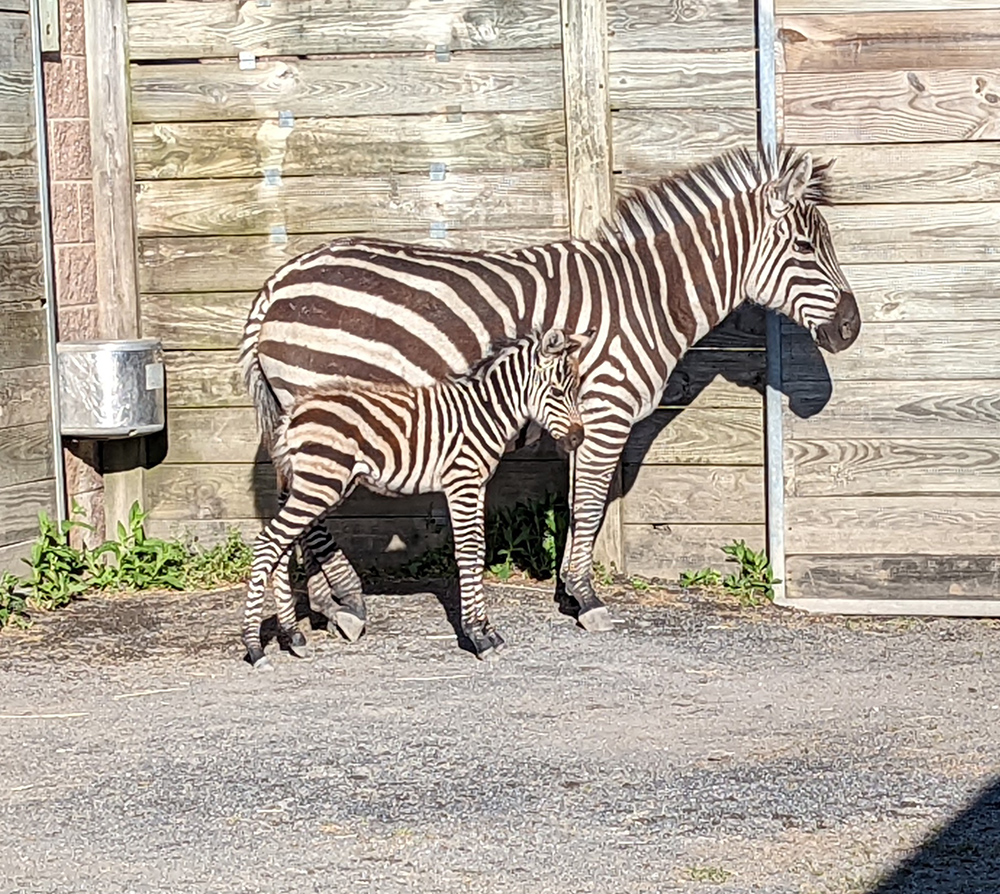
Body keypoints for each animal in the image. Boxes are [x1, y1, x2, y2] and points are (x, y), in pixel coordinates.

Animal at [242, 147, 860, 632]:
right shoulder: (606, 409)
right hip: (325, 414)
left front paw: (567, 589)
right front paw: (586, 599)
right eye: (807, 247)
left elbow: (576, 501)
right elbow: (588, 504)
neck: (647, 297)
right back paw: (345, 601)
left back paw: (330, 604)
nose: (851, 329)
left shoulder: (578, 418)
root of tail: (276, 282)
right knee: (306, 515)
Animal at [243, 326, 588, 668]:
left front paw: (488, 631)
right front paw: (477, 636)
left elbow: (478, 550)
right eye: (557, 392)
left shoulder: (477, 485)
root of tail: (291, 415)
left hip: (313, 486)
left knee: (282, 549)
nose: (577, 439)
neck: (486, 414)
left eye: (575, 390)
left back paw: (292, 636)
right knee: (268, 544)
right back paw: (255, 649)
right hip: (319, 485)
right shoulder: (461, 481)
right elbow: (468, 552)